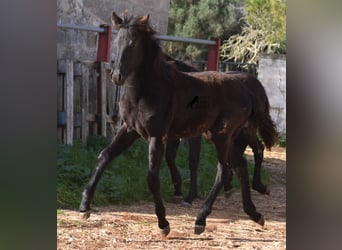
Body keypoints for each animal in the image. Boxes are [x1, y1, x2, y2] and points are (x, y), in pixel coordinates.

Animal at [164, 55, 270, 205]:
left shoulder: (194, 134)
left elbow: (193, 160)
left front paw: (190, 196)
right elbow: (170, 156)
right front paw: (178, 192)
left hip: (247, 130)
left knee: (258, 148)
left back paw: (258, 186)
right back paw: (230, 185)